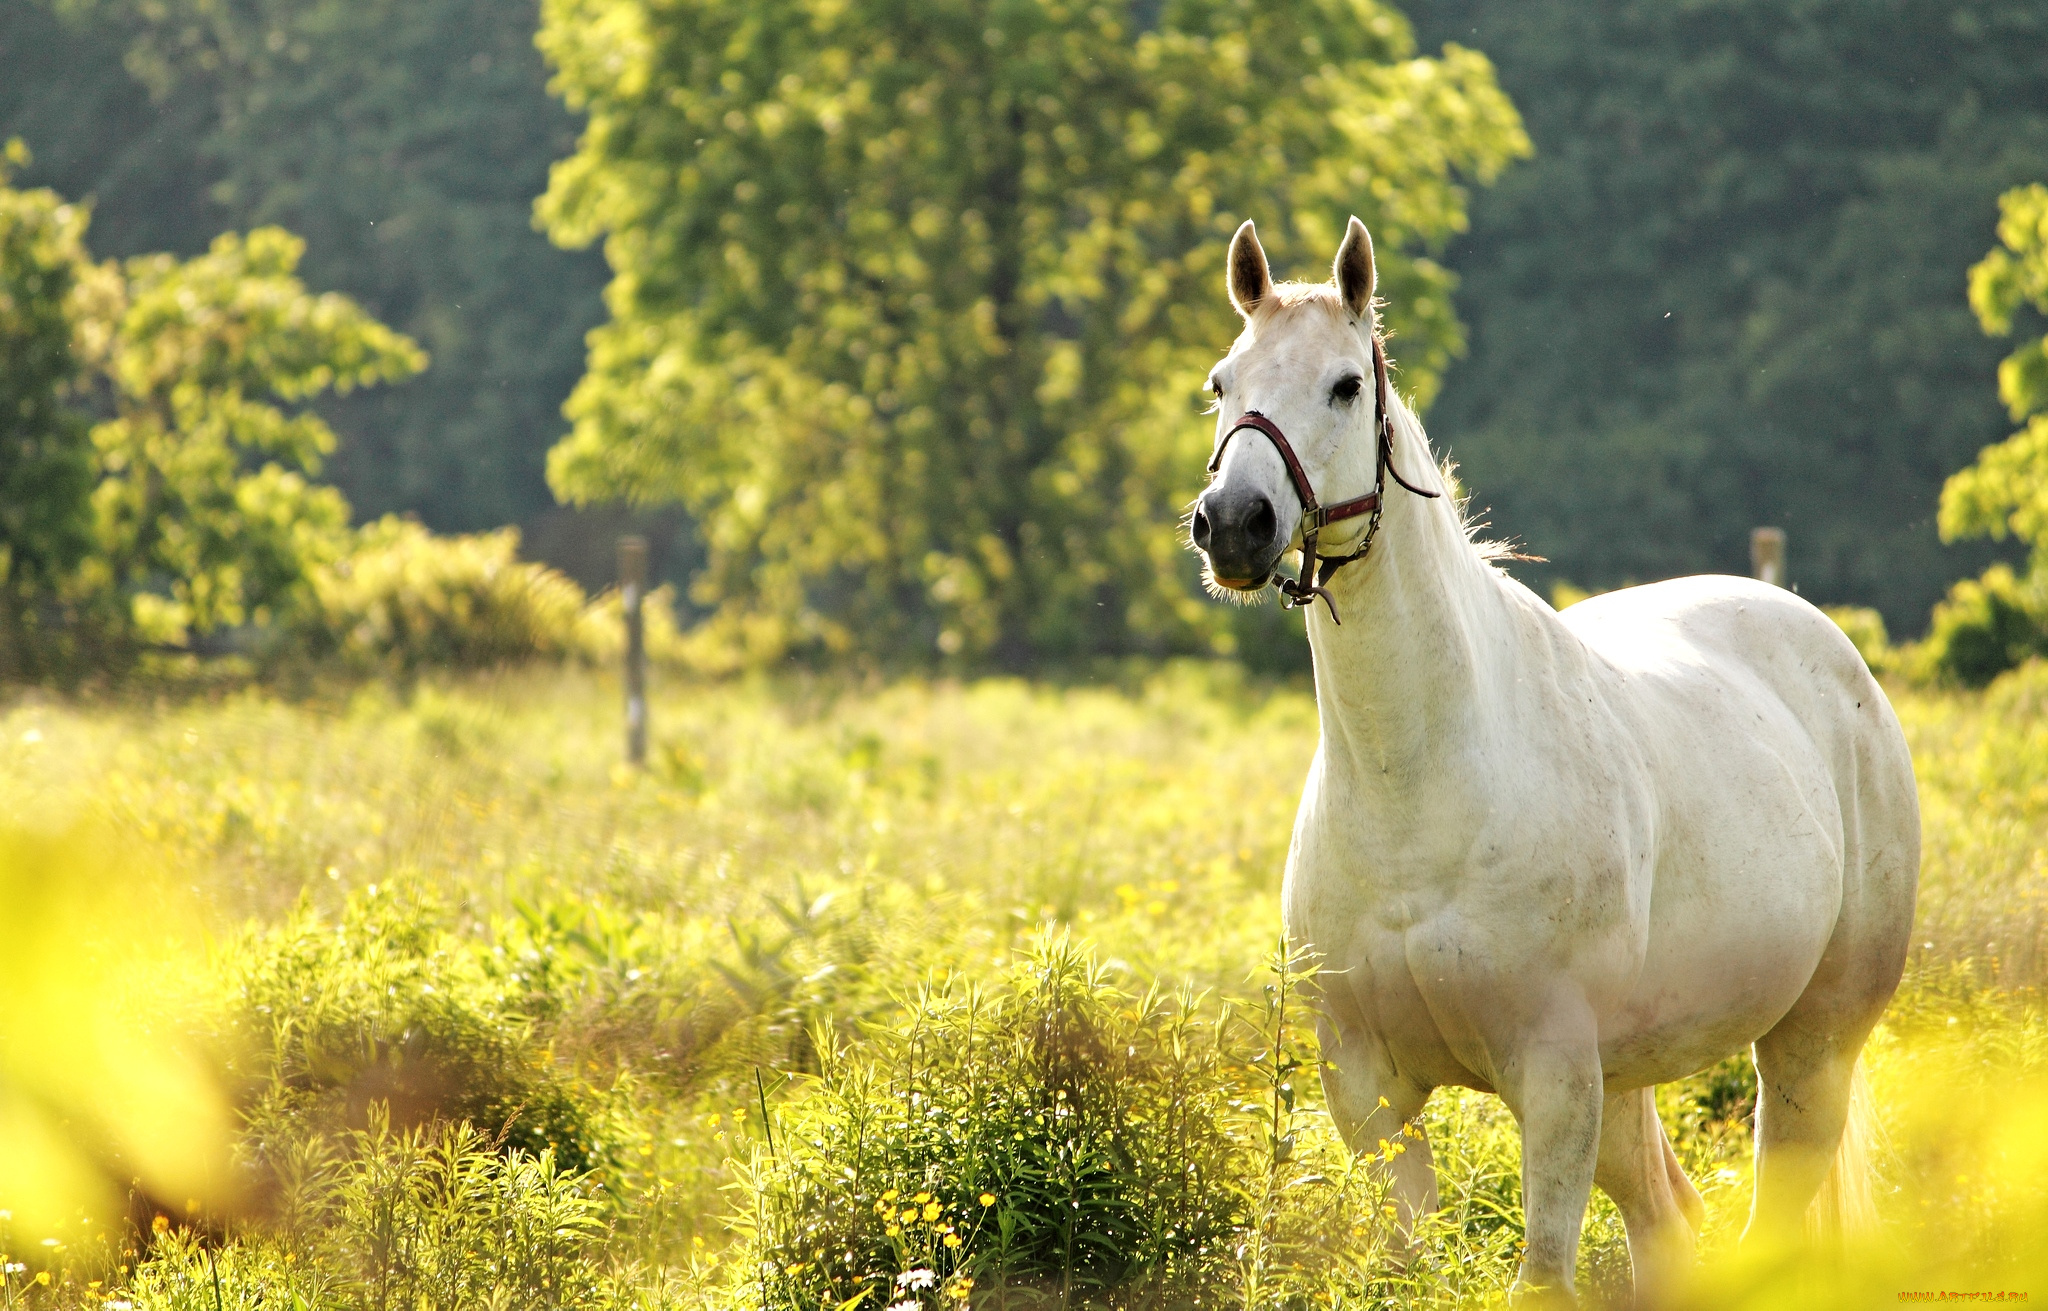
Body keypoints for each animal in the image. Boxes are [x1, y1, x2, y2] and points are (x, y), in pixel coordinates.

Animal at [1187, 215, 1916, 1302]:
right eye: (1222, 382)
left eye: (1344, 386)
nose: (1234, 524)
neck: (1420, 791)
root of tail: (1826, 649)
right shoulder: (1366, 1089)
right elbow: (1411, 1261)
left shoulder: (1555, 1075)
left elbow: (1540, 1278)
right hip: (1631, 1082)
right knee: (1668, 1225)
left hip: (1808, 1046)